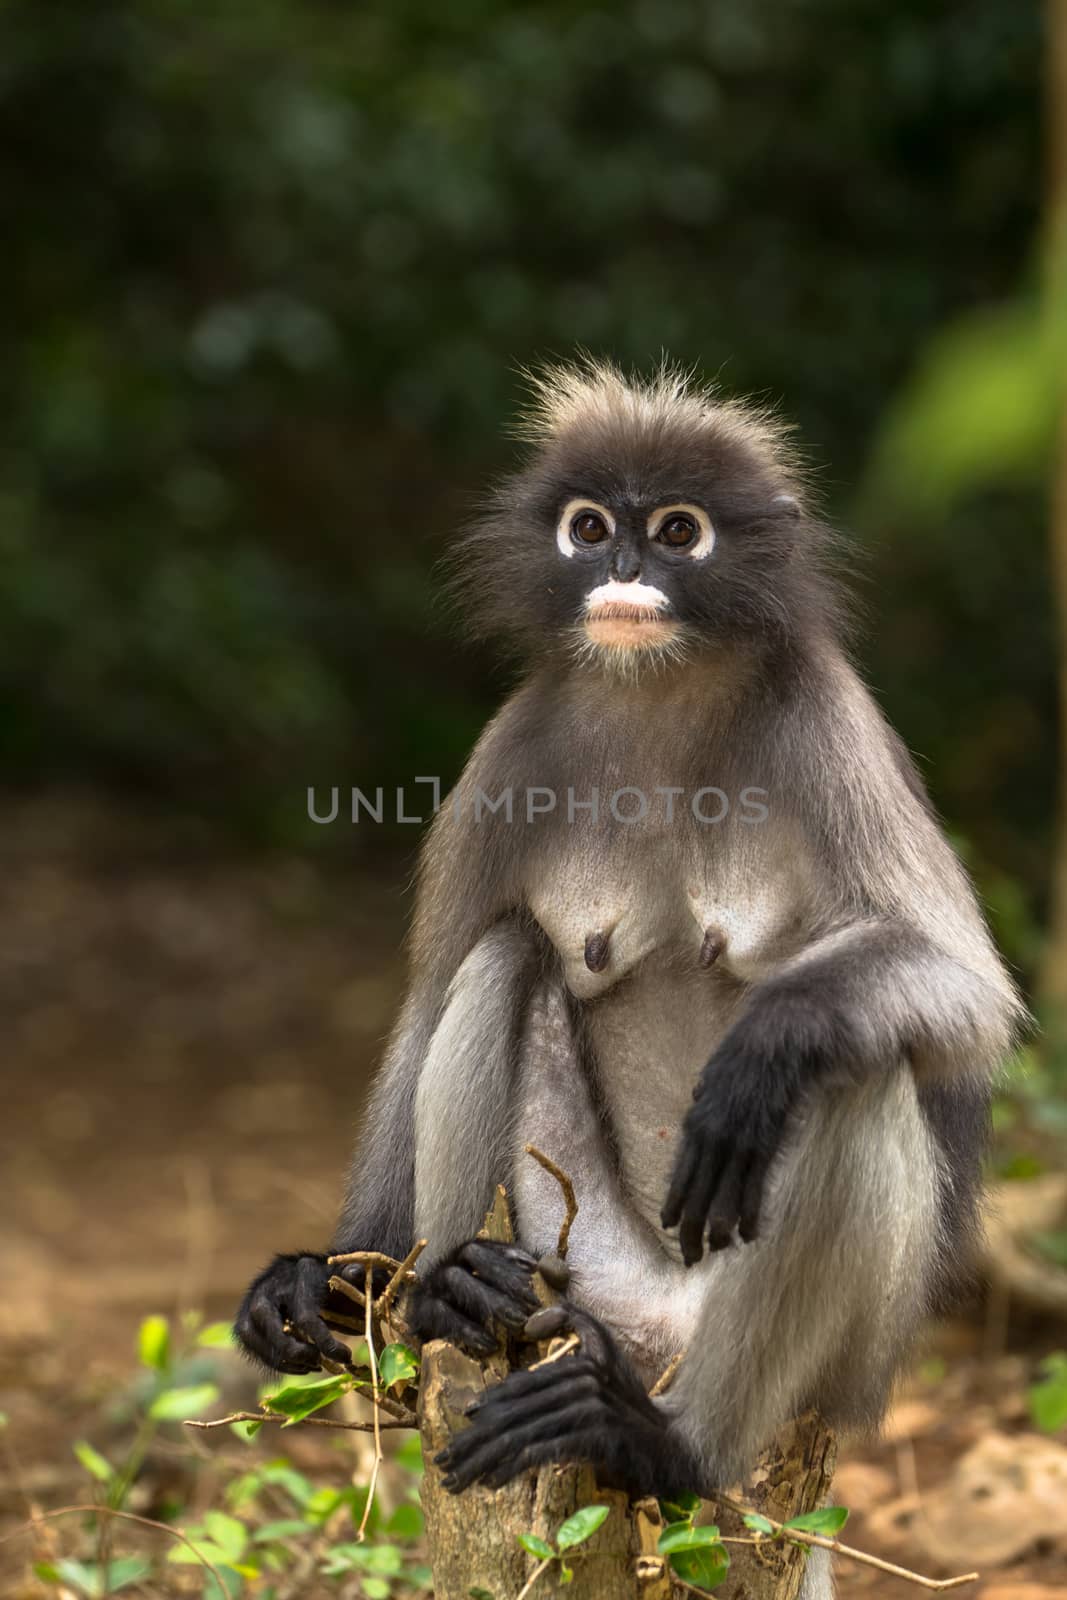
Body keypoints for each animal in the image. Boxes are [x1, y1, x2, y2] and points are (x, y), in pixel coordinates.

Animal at [235, 356, 1023, 1593]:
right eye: (591, 526)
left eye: (677, 532)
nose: (620, 571)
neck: (660, 694)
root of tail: (654, 1335)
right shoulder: (513, 741)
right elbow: (426, 999)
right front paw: (332, 1275)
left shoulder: (828, 724)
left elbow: (968, 996)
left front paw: (757, 1054)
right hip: (588, 1263)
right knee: (504, 951)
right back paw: (450, 1297)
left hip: (835, 1360)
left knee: (851, 1069)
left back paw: (670, 1444)